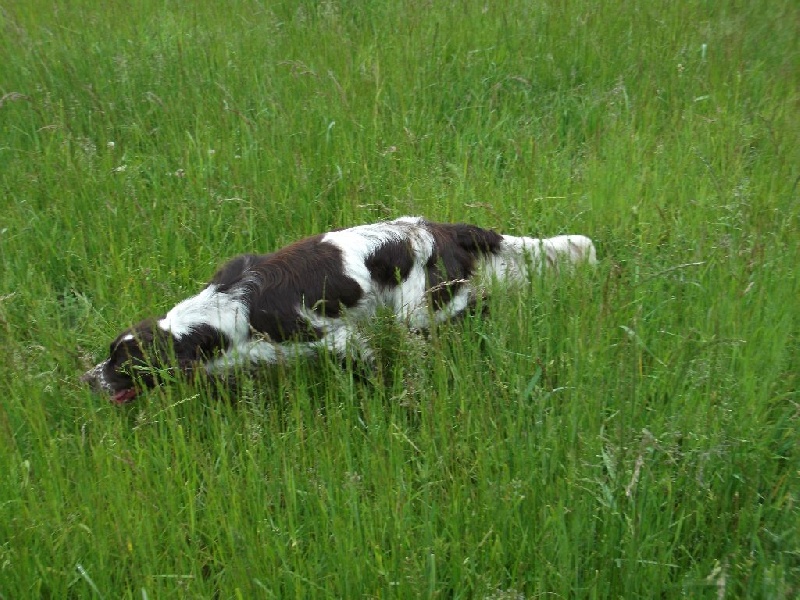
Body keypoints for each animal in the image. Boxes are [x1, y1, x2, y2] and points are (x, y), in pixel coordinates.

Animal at [81, 216, 592, 404]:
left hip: (423, 310)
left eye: (123, 364)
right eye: (110, 355)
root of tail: (440, 227)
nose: (86, 378)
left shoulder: (334, 336)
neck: (220, 312)